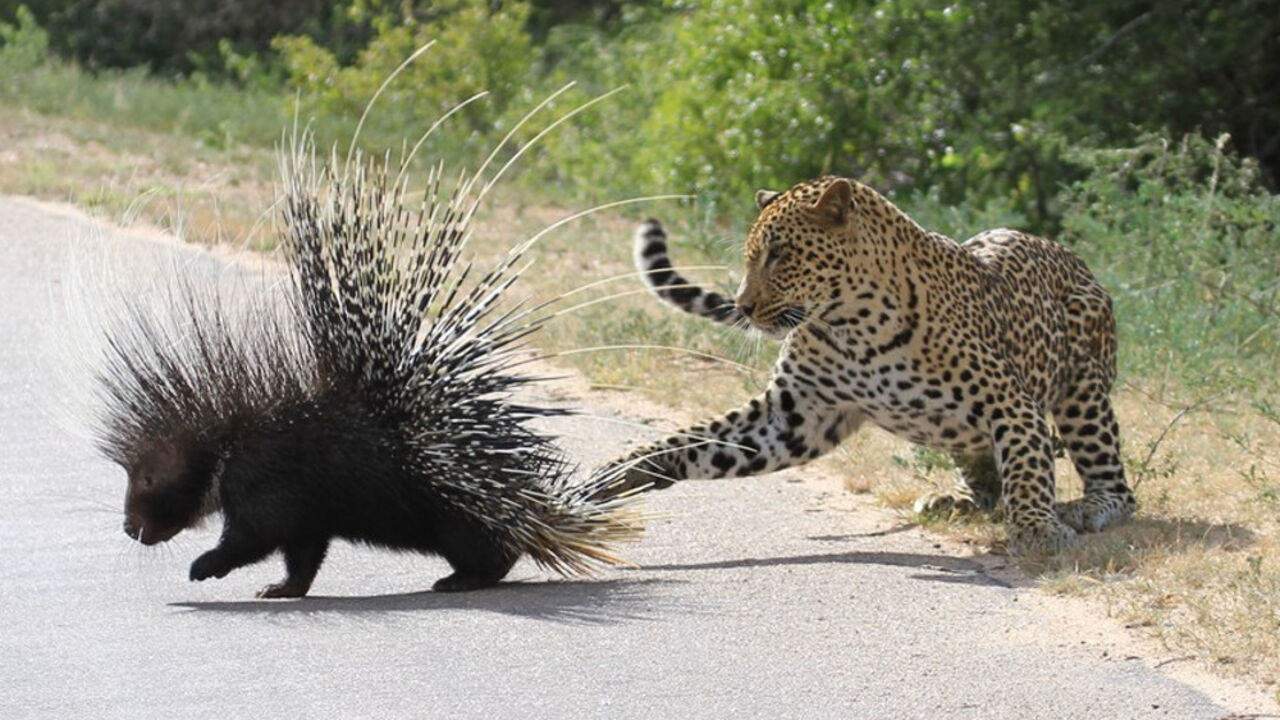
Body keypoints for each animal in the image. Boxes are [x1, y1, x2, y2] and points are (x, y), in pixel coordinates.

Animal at [596, 175, 1136, 555]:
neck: (853, 325)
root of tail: (1073, 258)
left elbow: (1028, 467)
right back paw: (957, 499)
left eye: (779, 255)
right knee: (984, 470)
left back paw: (1089, 507)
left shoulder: (1009, 403)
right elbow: (694, 441)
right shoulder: (793, 415)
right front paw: (623, 471)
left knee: (1116, 484)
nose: (744, 306)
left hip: (1083, 389)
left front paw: (1037, 530)